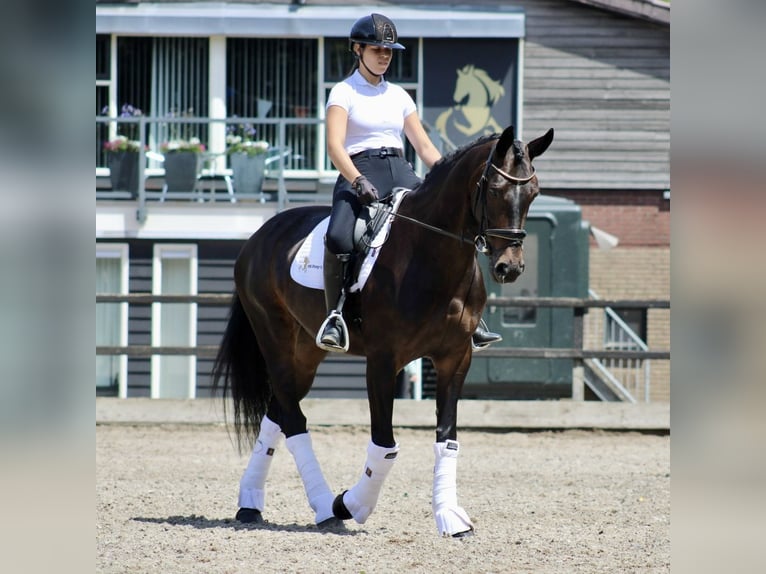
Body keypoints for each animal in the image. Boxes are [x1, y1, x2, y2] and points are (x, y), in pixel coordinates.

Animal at [213, 126, 556, 540]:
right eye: (493, 189)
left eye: (533, 192)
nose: (510, 267)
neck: (431, 255)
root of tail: (259, 236)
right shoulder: (382, 361)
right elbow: (385, 446)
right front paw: (350, 505)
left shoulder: (456, 358)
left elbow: (447, 439)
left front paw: (450, 517)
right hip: (275, 339)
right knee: (294, 420)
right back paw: (324, 507)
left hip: (305, 352)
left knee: (278, 411)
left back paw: (250, 503)